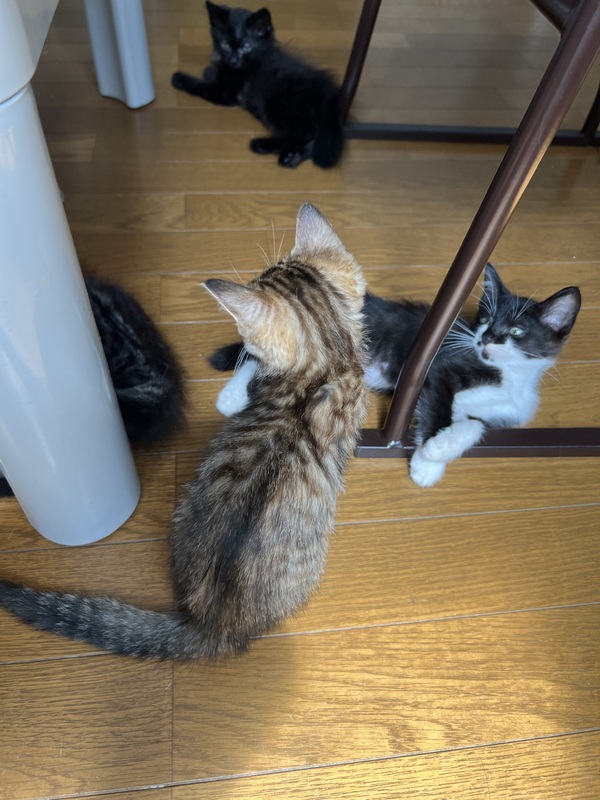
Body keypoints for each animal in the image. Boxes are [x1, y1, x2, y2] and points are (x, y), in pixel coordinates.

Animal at [171, 2, 345, 169]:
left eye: (246, 46)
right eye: (225, 44)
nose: (233, 60)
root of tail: (327, 89)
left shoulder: (225, 93)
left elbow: (200, 85)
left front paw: (179, 78)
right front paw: (210, 70)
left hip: (278, 105)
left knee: (306, 132)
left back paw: (262, 145)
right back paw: (291, 158)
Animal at [209, 264, 581, 487]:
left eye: (516, 331)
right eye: (486, 320)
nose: (485, 338)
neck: (508, 376)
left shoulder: (498, 414)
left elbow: (473, 426)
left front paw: (435, 452)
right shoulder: (438, 370)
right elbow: (439, 410)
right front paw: (427, 461)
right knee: (257, 358)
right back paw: (230, 397)